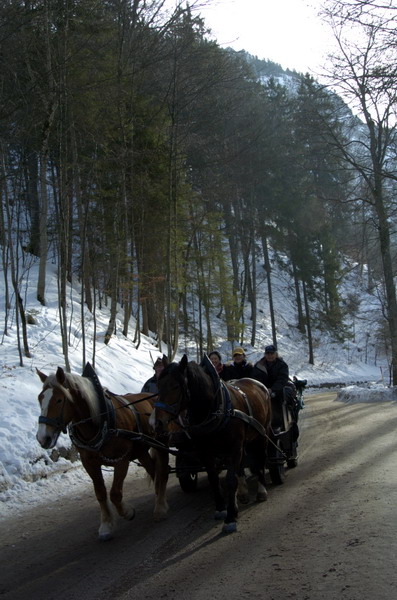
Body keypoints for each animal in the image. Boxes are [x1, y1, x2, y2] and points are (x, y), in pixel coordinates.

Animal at [35, 364, 169, 540]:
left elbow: (115, 494)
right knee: (154, 471)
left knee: (163, 472)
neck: (101, 420)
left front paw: (127, 512)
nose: (43, 438)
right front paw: (106, 524)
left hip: (161, 444)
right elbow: (100, 493)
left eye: (59, 400)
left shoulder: (121, 460)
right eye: (40, 398)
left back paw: (161, 506)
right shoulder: (89, 463)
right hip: (141, 451)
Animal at [152, 354, 272, 532]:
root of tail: (259, 384)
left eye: (175, 386)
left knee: (260, 460)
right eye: (159, 386)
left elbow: (230, 480)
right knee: (242, 464)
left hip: (262, 434)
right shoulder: (206, 451)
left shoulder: (234, 447)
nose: (157, 423)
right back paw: (243, 493)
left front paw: (230, 518)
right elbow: (214, 479)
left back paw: (262, 490)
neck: (216, 409)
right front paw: (222, 509)